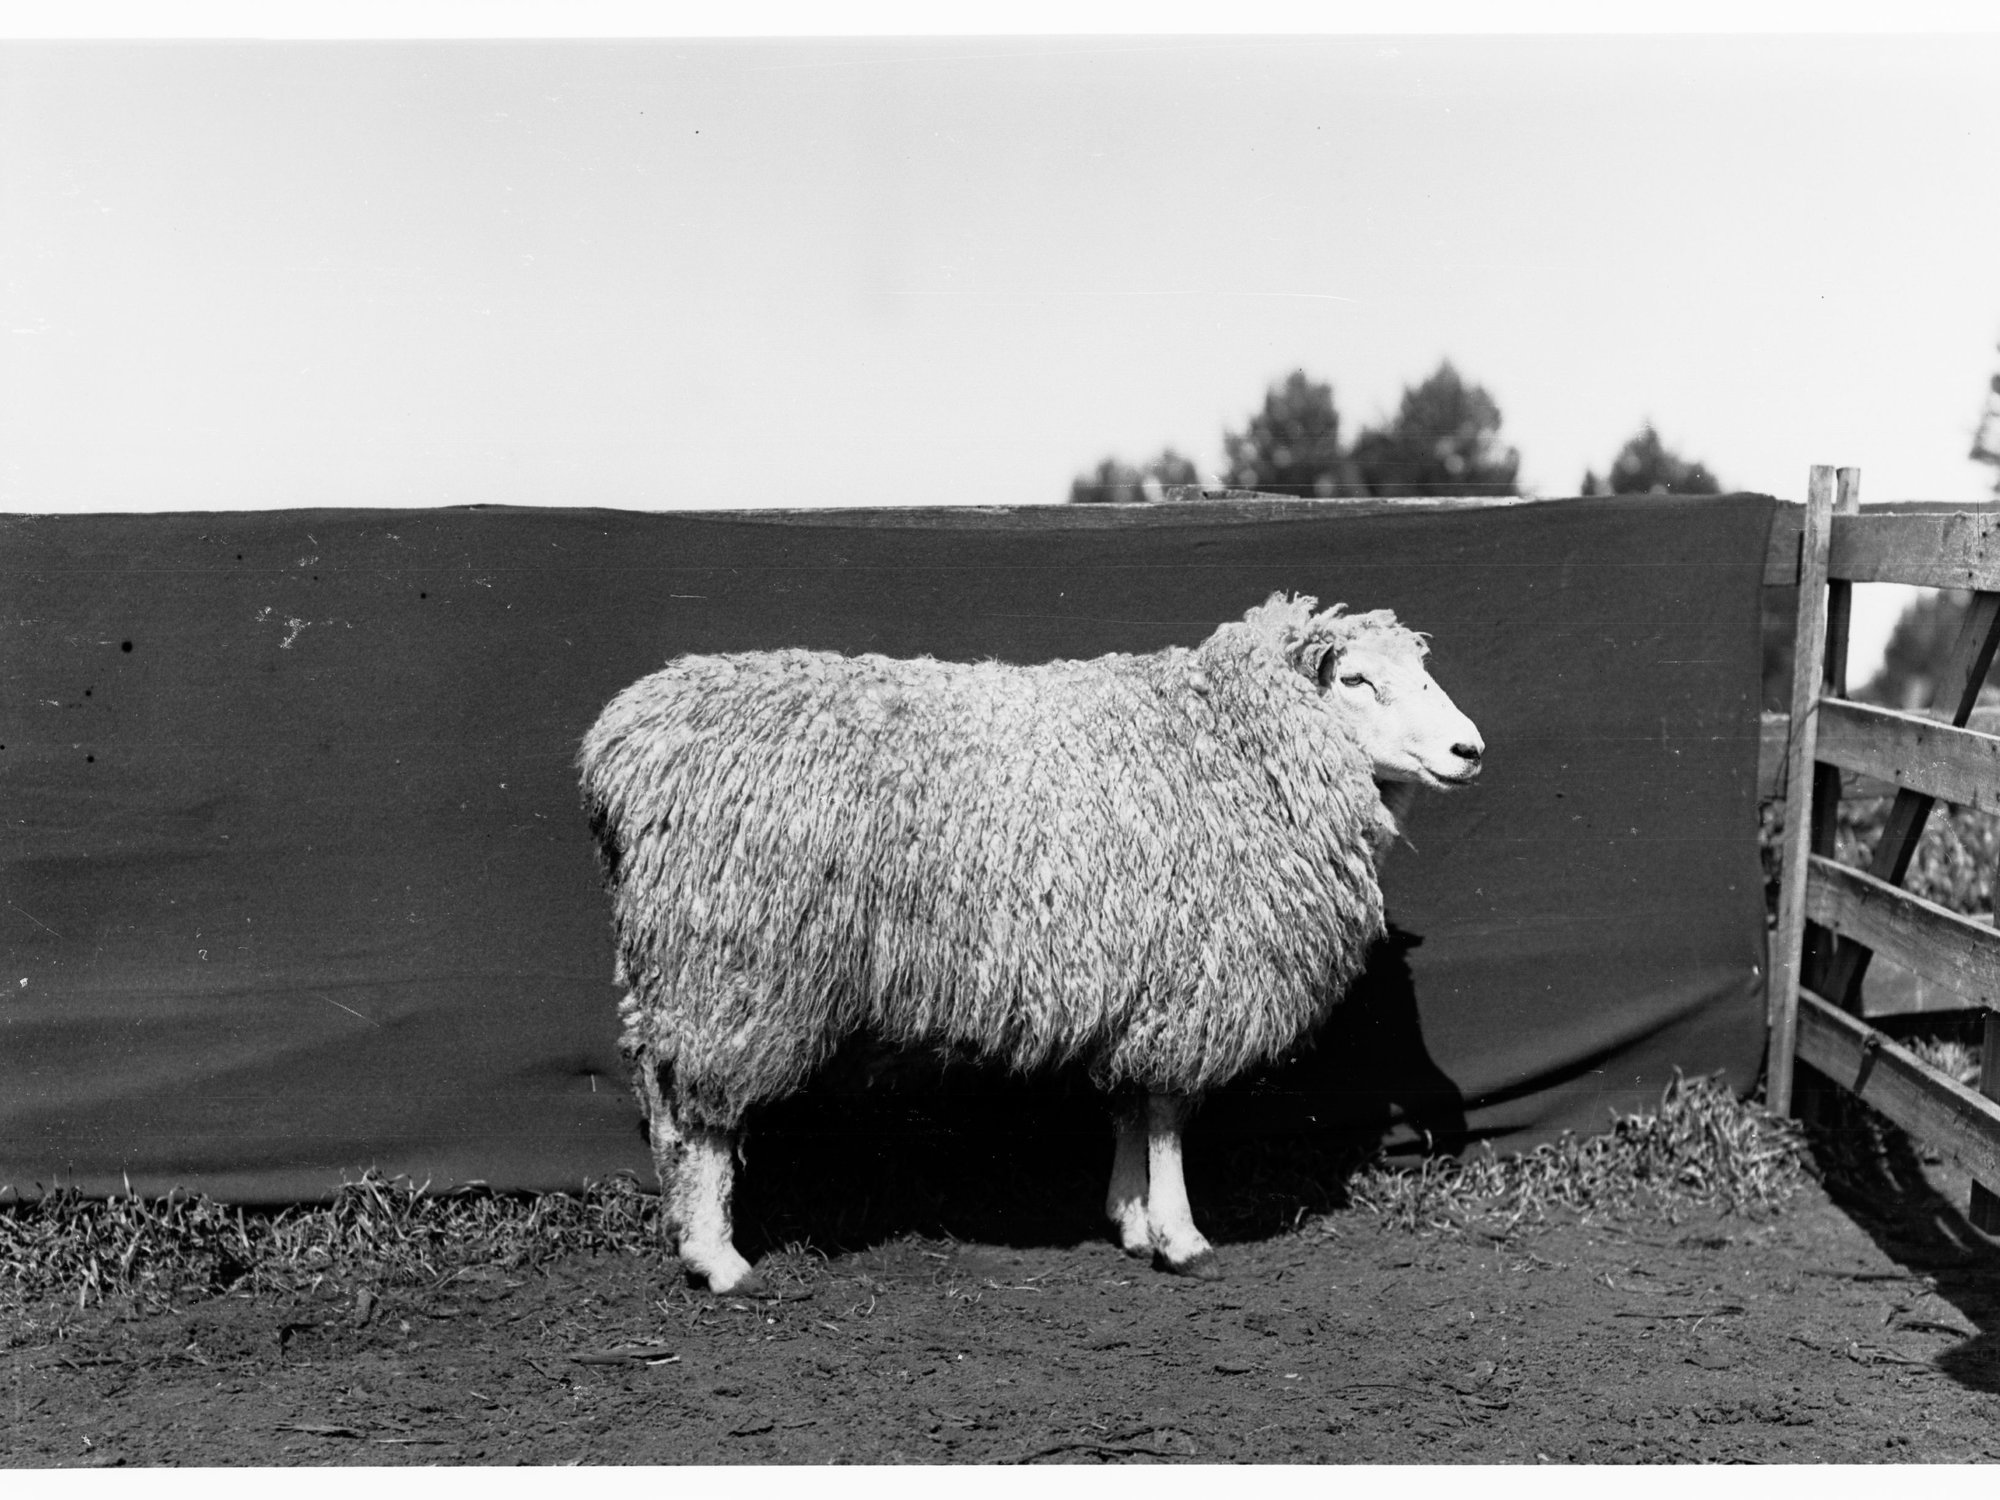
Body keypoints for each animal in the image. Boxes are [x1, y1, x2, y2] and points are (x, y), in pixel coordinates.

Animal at [578, 592, 1483, 1294]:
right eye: (1358, 681)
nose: (1469, 749)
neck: (1229, 747)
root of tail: (616, 749)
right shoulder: (1187, 979)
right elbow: (1167, 1113)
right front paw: (1180, 1237)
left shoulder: (1136, 985)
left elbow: (1131, 1104)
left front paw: (1130, 1218)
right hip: (728, 965)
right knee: (700, 1114)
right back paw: (719, 1260)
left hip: (664, 964)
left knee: (662, 1095)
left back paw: (689, 1236)